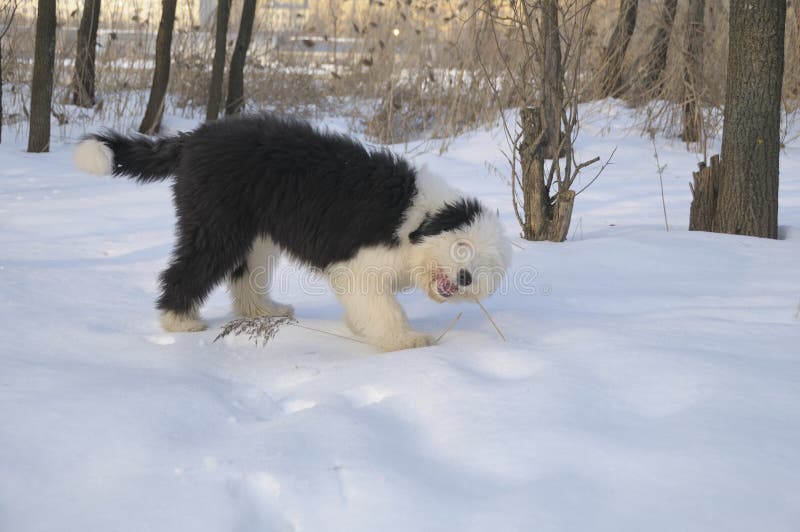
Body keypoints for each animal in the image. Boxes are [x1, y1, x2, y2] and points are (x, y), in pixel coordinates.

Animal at [76, 114, 512, 352]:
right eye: (462, 246)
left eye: (486, 266)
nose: (465, 277)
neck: (416, 220)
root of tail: (194, 138)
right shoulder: (359, 265)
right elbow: (383, 307)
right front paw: (404, 340)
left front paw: (365, 329)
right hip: (217, 225)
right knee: (188, 268)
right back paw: (178, 321)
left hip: (254, 236)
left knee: (245, 276)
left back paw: (262, 311)